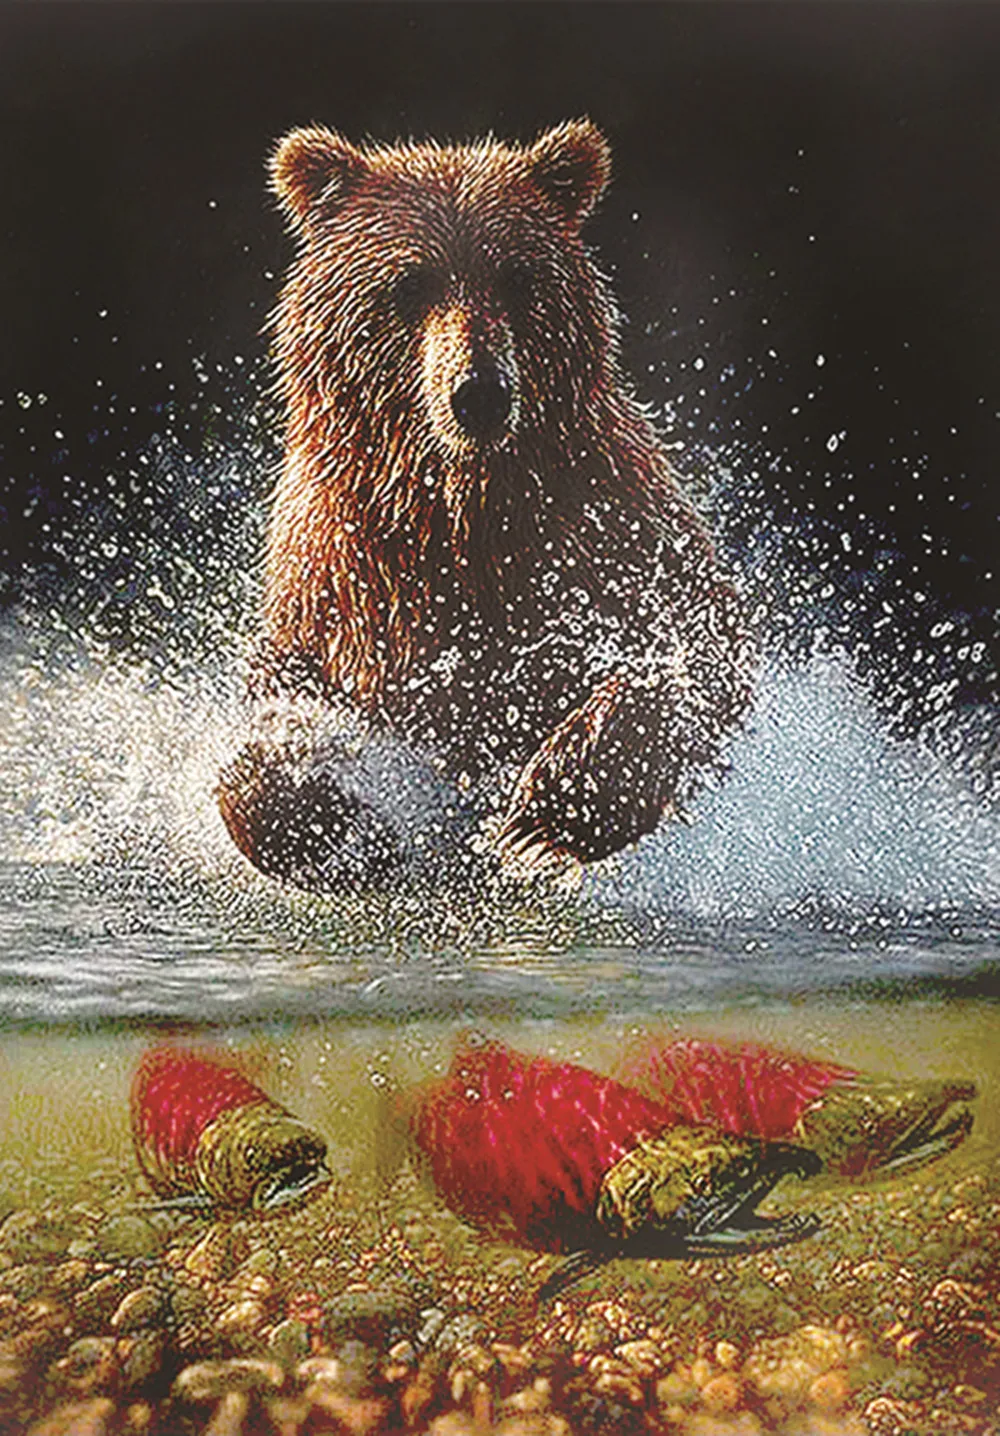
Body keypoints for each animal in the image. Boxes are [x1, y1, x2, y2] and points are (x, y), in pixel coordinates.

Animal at [216, 119, 754, 891]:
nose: (479, 393)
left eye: (518, 277)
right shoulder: (343, 569)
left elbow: (694, 656)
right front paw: (345, 829)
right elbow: (275, 721)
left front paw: (547, 809)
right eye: (409, 282)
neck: (463, 499)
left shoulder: (606, 528)